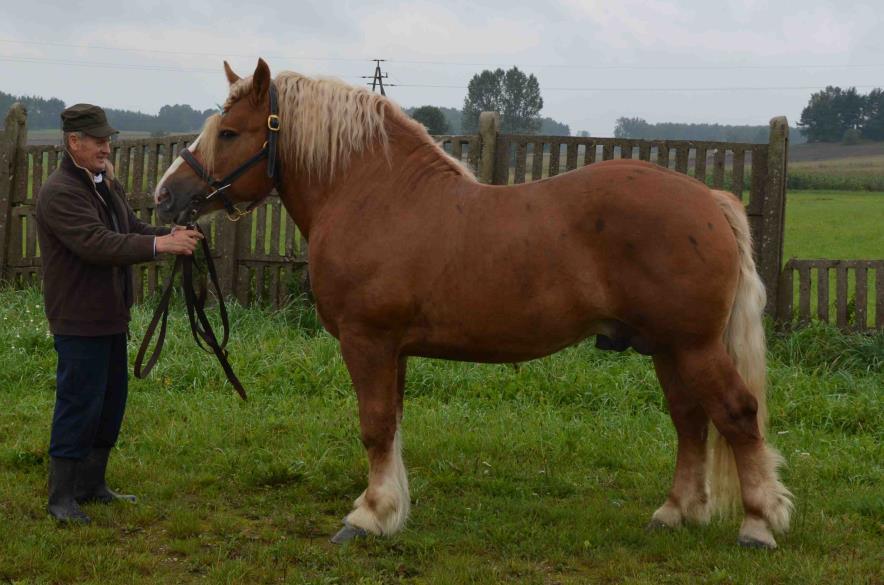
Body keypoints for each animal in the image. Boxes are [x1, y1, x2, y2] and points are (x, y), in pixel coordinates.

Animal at [154, 59, 796, 548]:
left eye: (229, 132)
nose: (165, 196)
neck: (376, 198)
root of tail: (710, 200)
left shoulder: (368, 341)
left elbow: (374, 426)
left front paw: (367, 516)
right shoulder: (395, 350)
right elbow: (392, 426)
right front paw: (391, 509)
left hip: (693, 345)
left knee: (736, 414)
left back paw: (758, 524)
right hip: (668, 348)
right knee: (690, 420)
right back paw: (675, 512)